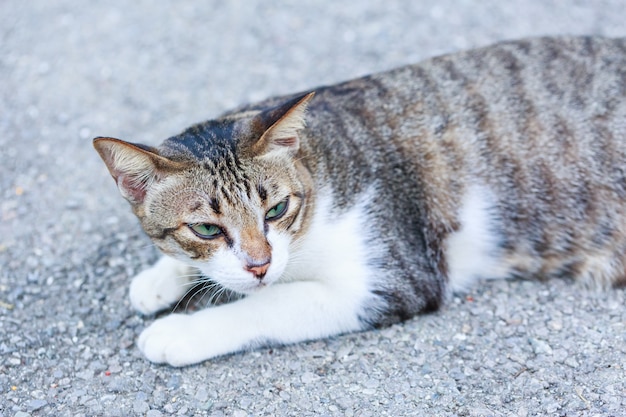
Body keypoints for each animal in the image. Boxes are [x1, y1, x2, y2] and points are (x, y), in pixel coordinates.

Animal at [94, 36, 624, 368]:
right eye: (206, 228)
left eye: (276, 210)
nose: (260, 264)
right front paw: (162, 277)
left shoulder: (389, 279)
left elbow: (267, 305)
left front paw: (182, 332)